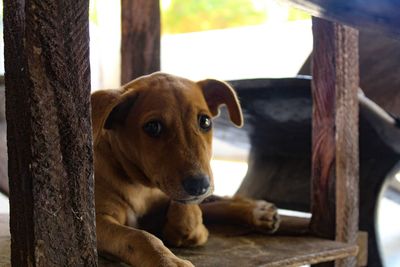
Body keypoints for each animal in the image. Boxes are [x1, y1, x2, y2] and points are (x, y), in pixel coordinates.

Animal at [92, 72, 280, 266]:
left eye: (205, 121)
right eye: (152, 127)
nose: (199, 185)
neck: (141, 187)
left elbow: (189, 217)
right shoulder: (97, 222)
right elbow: (140, 236)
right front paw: (168, 261)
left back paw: (257, 210)